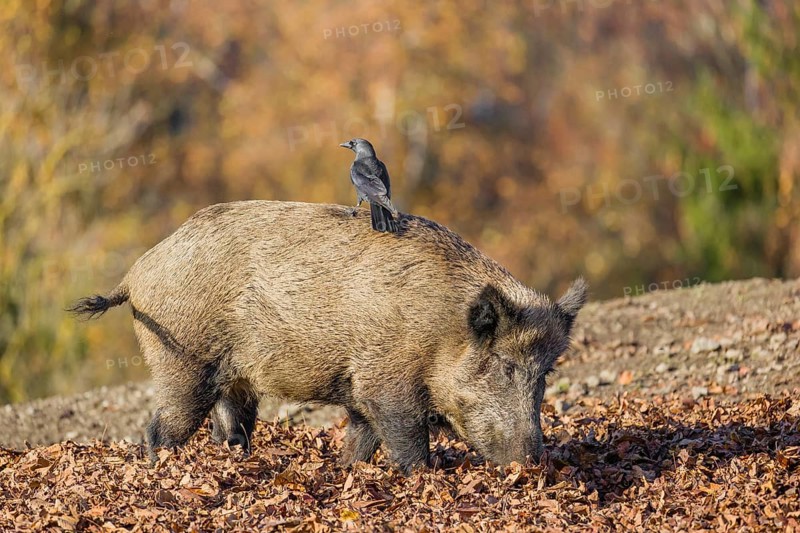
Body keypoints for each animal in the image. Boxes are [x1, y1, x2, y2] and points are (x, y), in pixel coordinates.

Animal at [70, 201, 587, 473]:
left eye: (546, 373)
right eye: (504, 365)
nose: (533, 460)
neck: (442, 333)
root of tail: (137, 274)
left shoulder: (360, 397)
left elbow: (360, 443)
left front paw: (347, 473)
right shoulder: (386, 383)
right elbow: (408, 444)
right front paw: (418, 477)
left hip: (233, 378)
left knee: (230, 423)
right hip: (181, 362)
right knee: (162, 427)